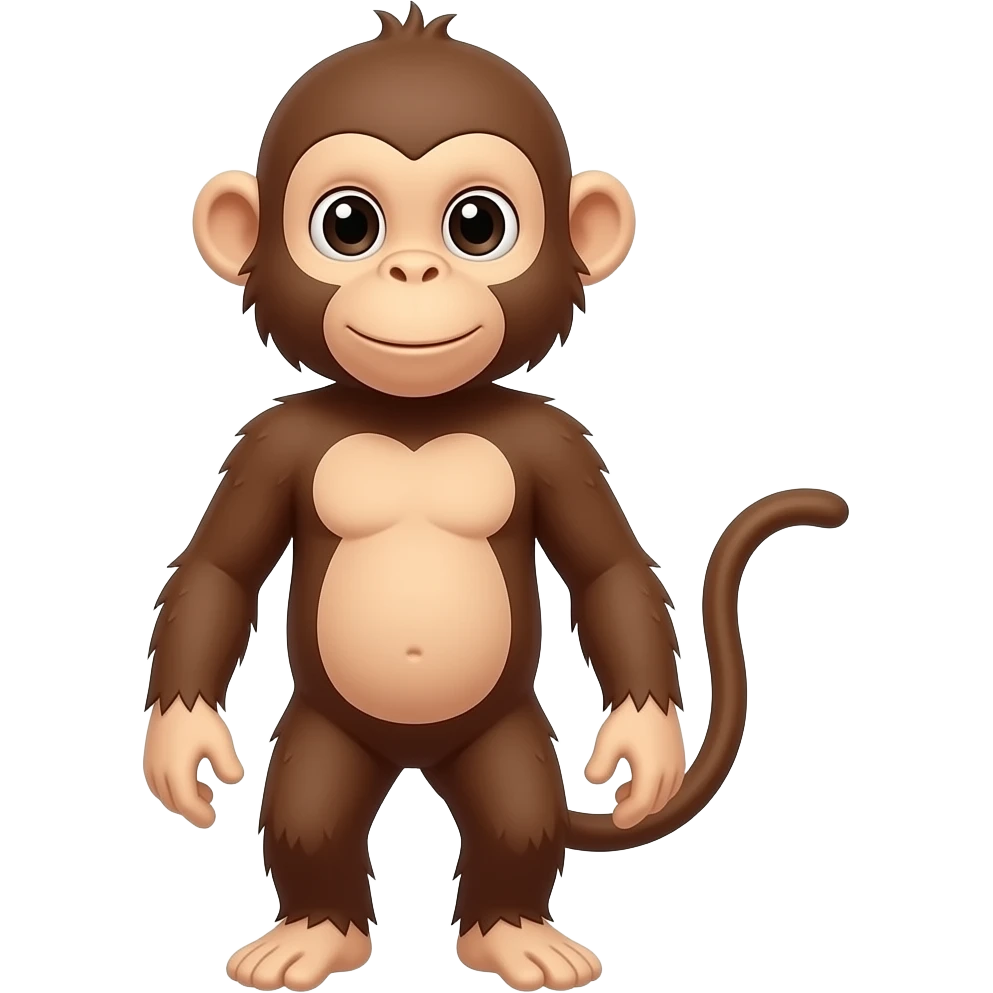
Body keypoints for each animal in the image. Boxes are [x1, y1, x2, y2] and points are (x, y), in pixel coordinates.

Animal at [143, 7, 850, 992]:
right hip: (326, 729)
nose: (412, 273)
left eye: (476, 224)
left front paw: (641, 747)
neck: (415, 416)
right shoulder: (266, 446)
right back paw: (314, 933)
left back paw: (513, 934)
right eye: (348, 224)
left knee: (516, 813)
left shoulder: (558, 444)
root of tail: (413, 753)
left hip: (506, 732)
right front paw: (183, 748)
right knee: (309, 810)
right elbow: (217, 569)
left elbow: (607, 570)